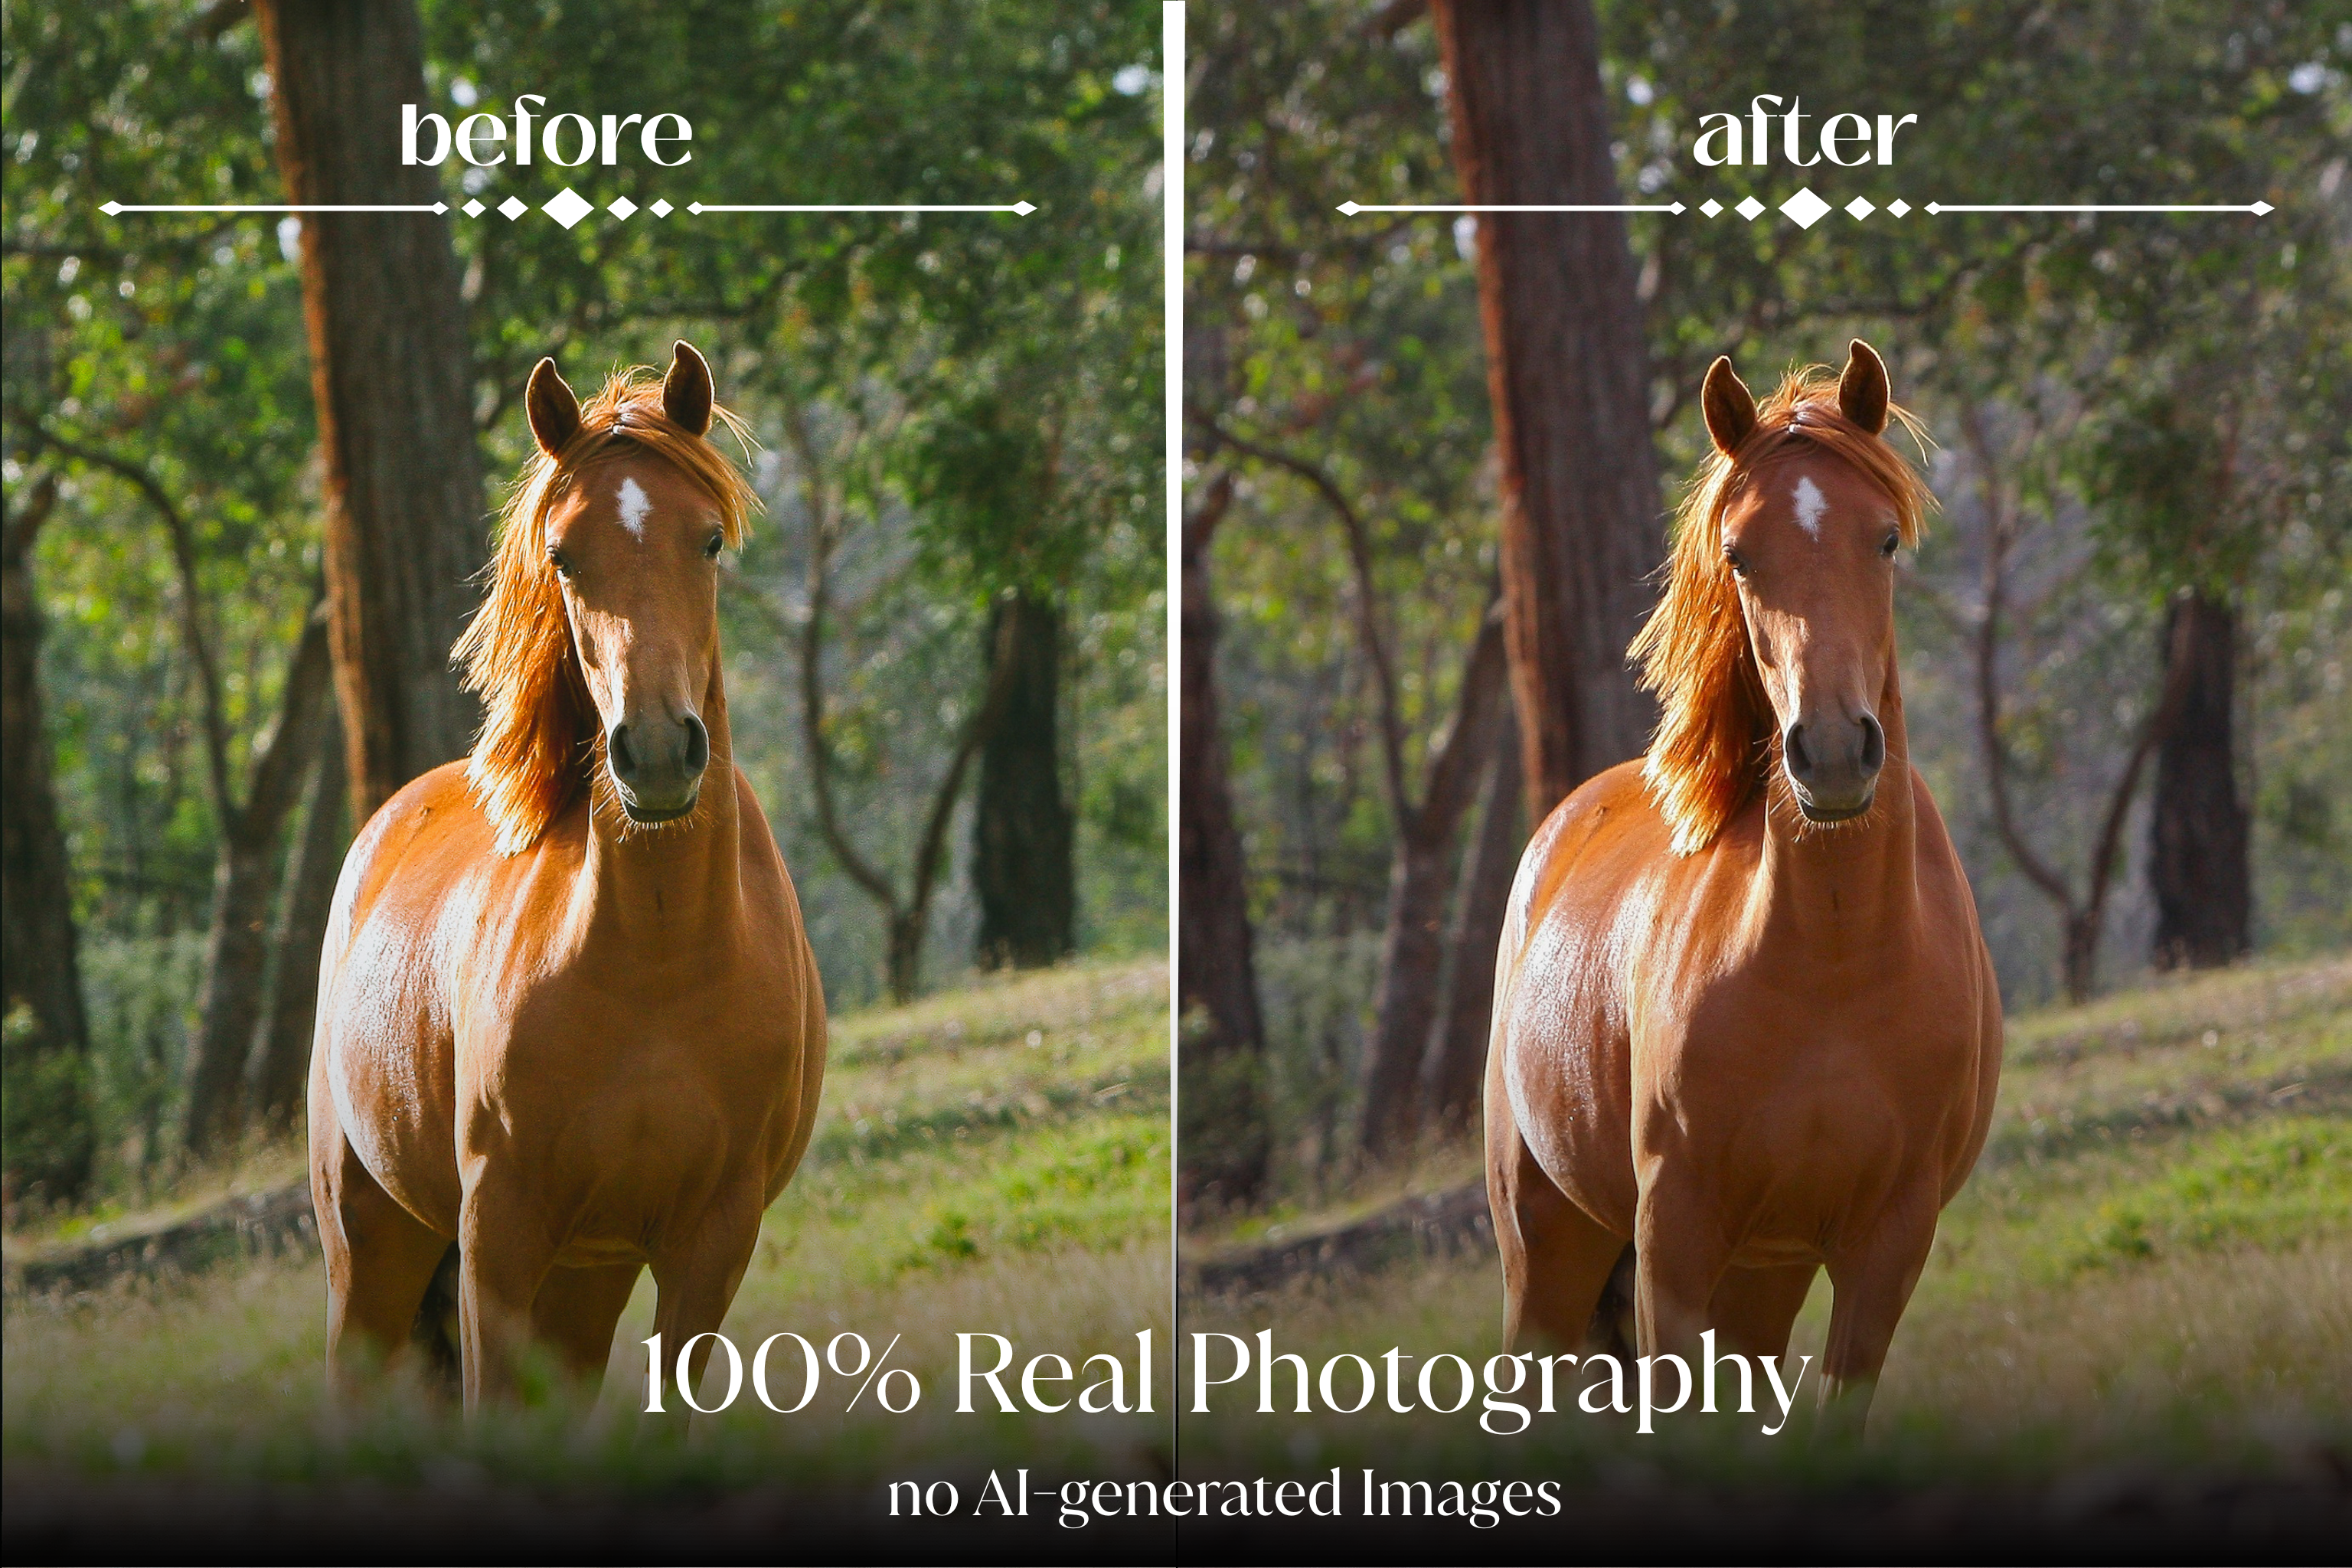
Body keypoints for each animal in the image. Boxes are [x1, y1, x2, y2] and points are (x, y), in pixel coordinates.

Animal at [308, 342, 826, 1410]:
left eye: (708, 543)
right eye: (563, 555)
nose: (658, 751)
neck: (660, 960)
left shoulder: (708, 1242)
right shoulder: (499, 1234)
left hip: (589, 1276)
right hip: (373, 1249)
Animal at [1483, 340, 2000, 1430]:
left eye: (1884, 541)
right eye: (1740, 555)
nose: (1834, 752)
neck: (1836, 959)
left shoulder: (1885, 1244)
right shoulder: (1675, 1236)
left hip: (1764, 1277)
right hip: (1548, 1249)